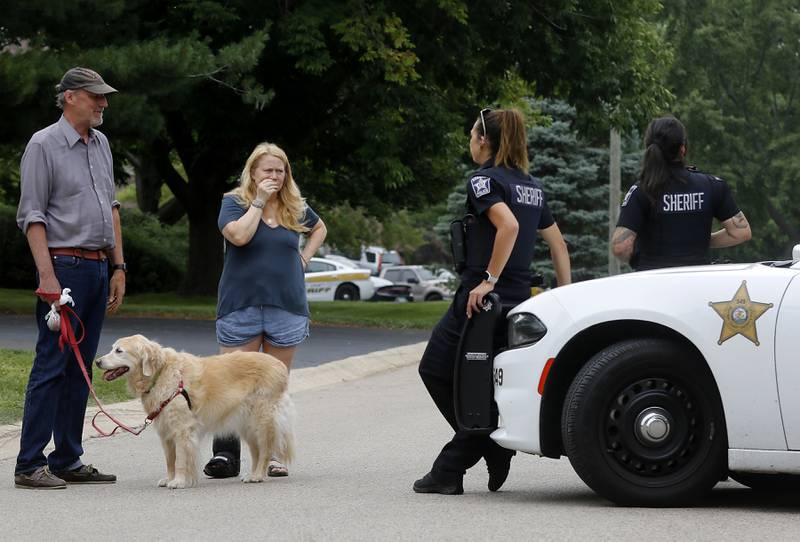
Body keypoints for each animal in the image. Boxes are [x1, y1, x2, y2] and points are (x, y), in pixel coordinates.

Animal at [97, 334, 296, 490]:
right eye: (113, 348)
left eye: (119, 351)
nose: (97, 361)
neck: (161, 374)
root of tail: (280, 365)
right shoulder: (166, 432)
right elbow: (170, 460)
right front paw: (170, 478)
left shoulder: (182, 430)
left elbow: (180, 459)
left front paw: (178, 481)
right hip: (247, 424)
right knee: (257, 451)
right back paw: (252, 475)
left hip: (262, 421)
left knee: (265, 450)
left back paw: (258, 475)